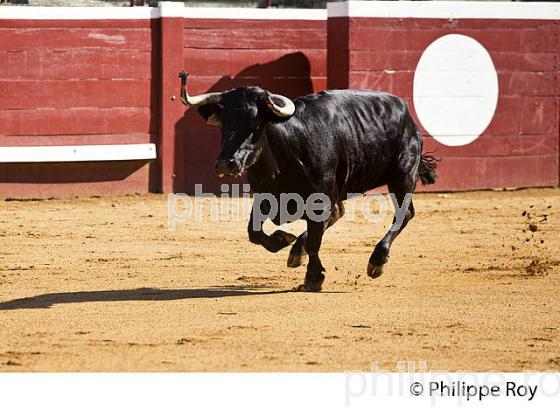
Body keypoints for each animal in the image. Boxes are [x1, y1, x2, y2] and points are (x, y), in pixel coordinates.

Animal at [178, 71, 438, 292]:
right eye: (224, 123)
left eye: (256, 125)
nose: (226, 163)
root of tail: (407, 114)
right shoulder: (264, 197)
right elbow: (254, 232)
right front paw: (283, 240)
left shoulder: (319, 201)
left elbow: (314, 241)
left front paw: (314, 277)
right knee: (339, 213)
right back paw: (296, 251)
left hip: (402, 175)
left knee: (404, 214)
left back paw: (377, 260)